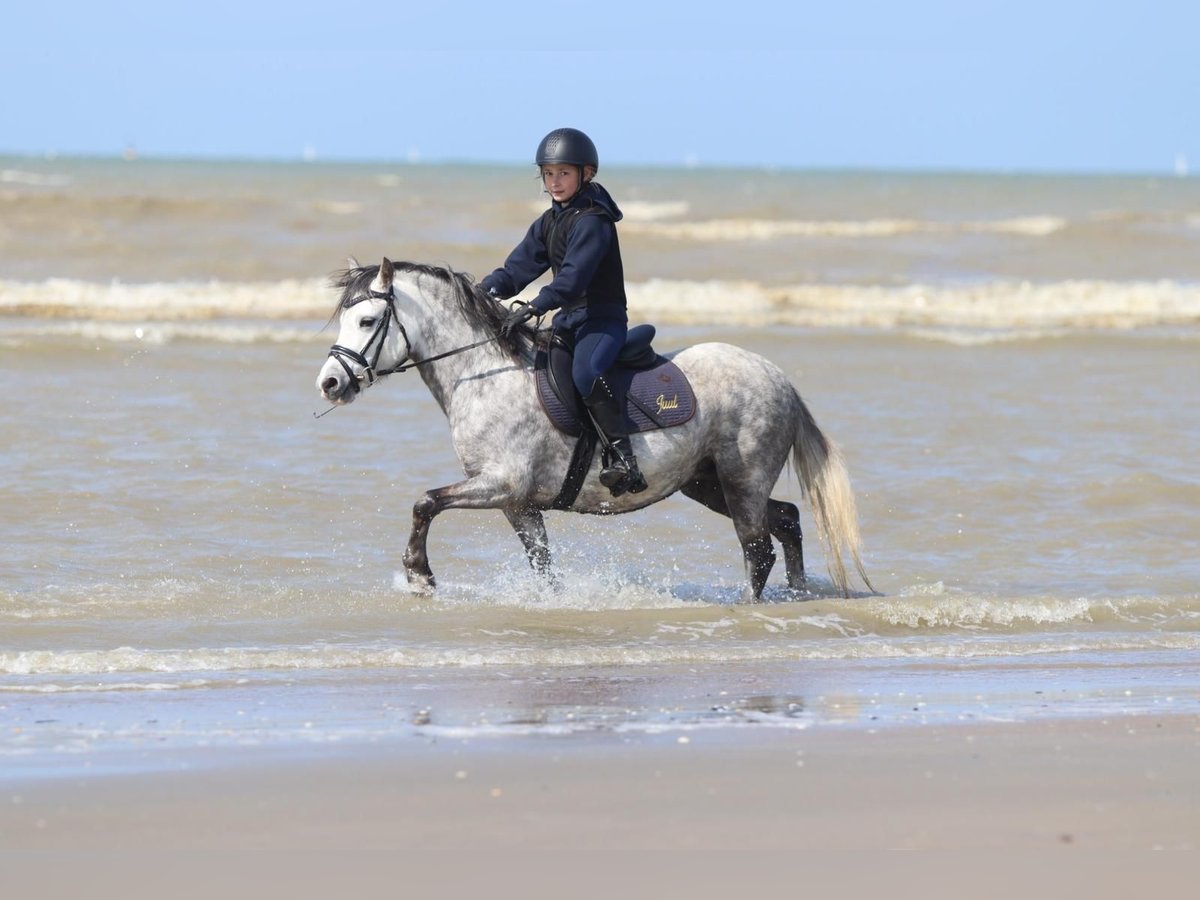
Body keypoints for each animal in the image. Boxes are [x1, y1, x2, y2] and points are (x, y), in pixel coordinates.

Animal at [312, 256, 873, 602]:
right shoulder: (518, 504)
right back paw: (796, 595)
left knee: (758, 548)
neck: (485, 373)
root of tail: (777, 376)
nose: (330, 383)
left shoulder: (501, 485)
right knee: (788, 520)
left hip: (741, 480)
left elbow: (425, 501)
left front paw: (420, 575)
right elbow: (542, 564)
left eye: (367, 322)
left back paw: (747, 606)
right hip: (708, 484)